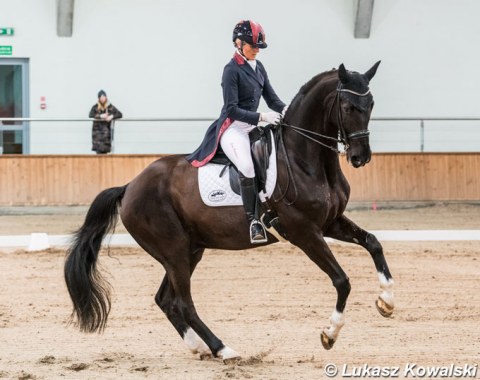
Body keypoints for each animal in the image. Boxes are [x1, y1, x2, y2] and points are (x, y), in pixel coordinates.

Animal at [63, 60, 394, 360]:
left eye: (371, 103)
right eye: (348, 106)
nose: (360, 157)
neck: (305, 159)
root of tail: (129, 186)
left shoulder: (330, 222)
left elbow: (373, 243)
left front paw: (387, 301)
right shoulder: (304, 232)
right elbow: (342, 280)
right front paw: (329, 334)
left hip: (189, 250)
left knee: (166, 300)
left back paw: (200, 347)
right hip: (174, 251)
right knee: (183, 303)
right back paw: (223, 349)